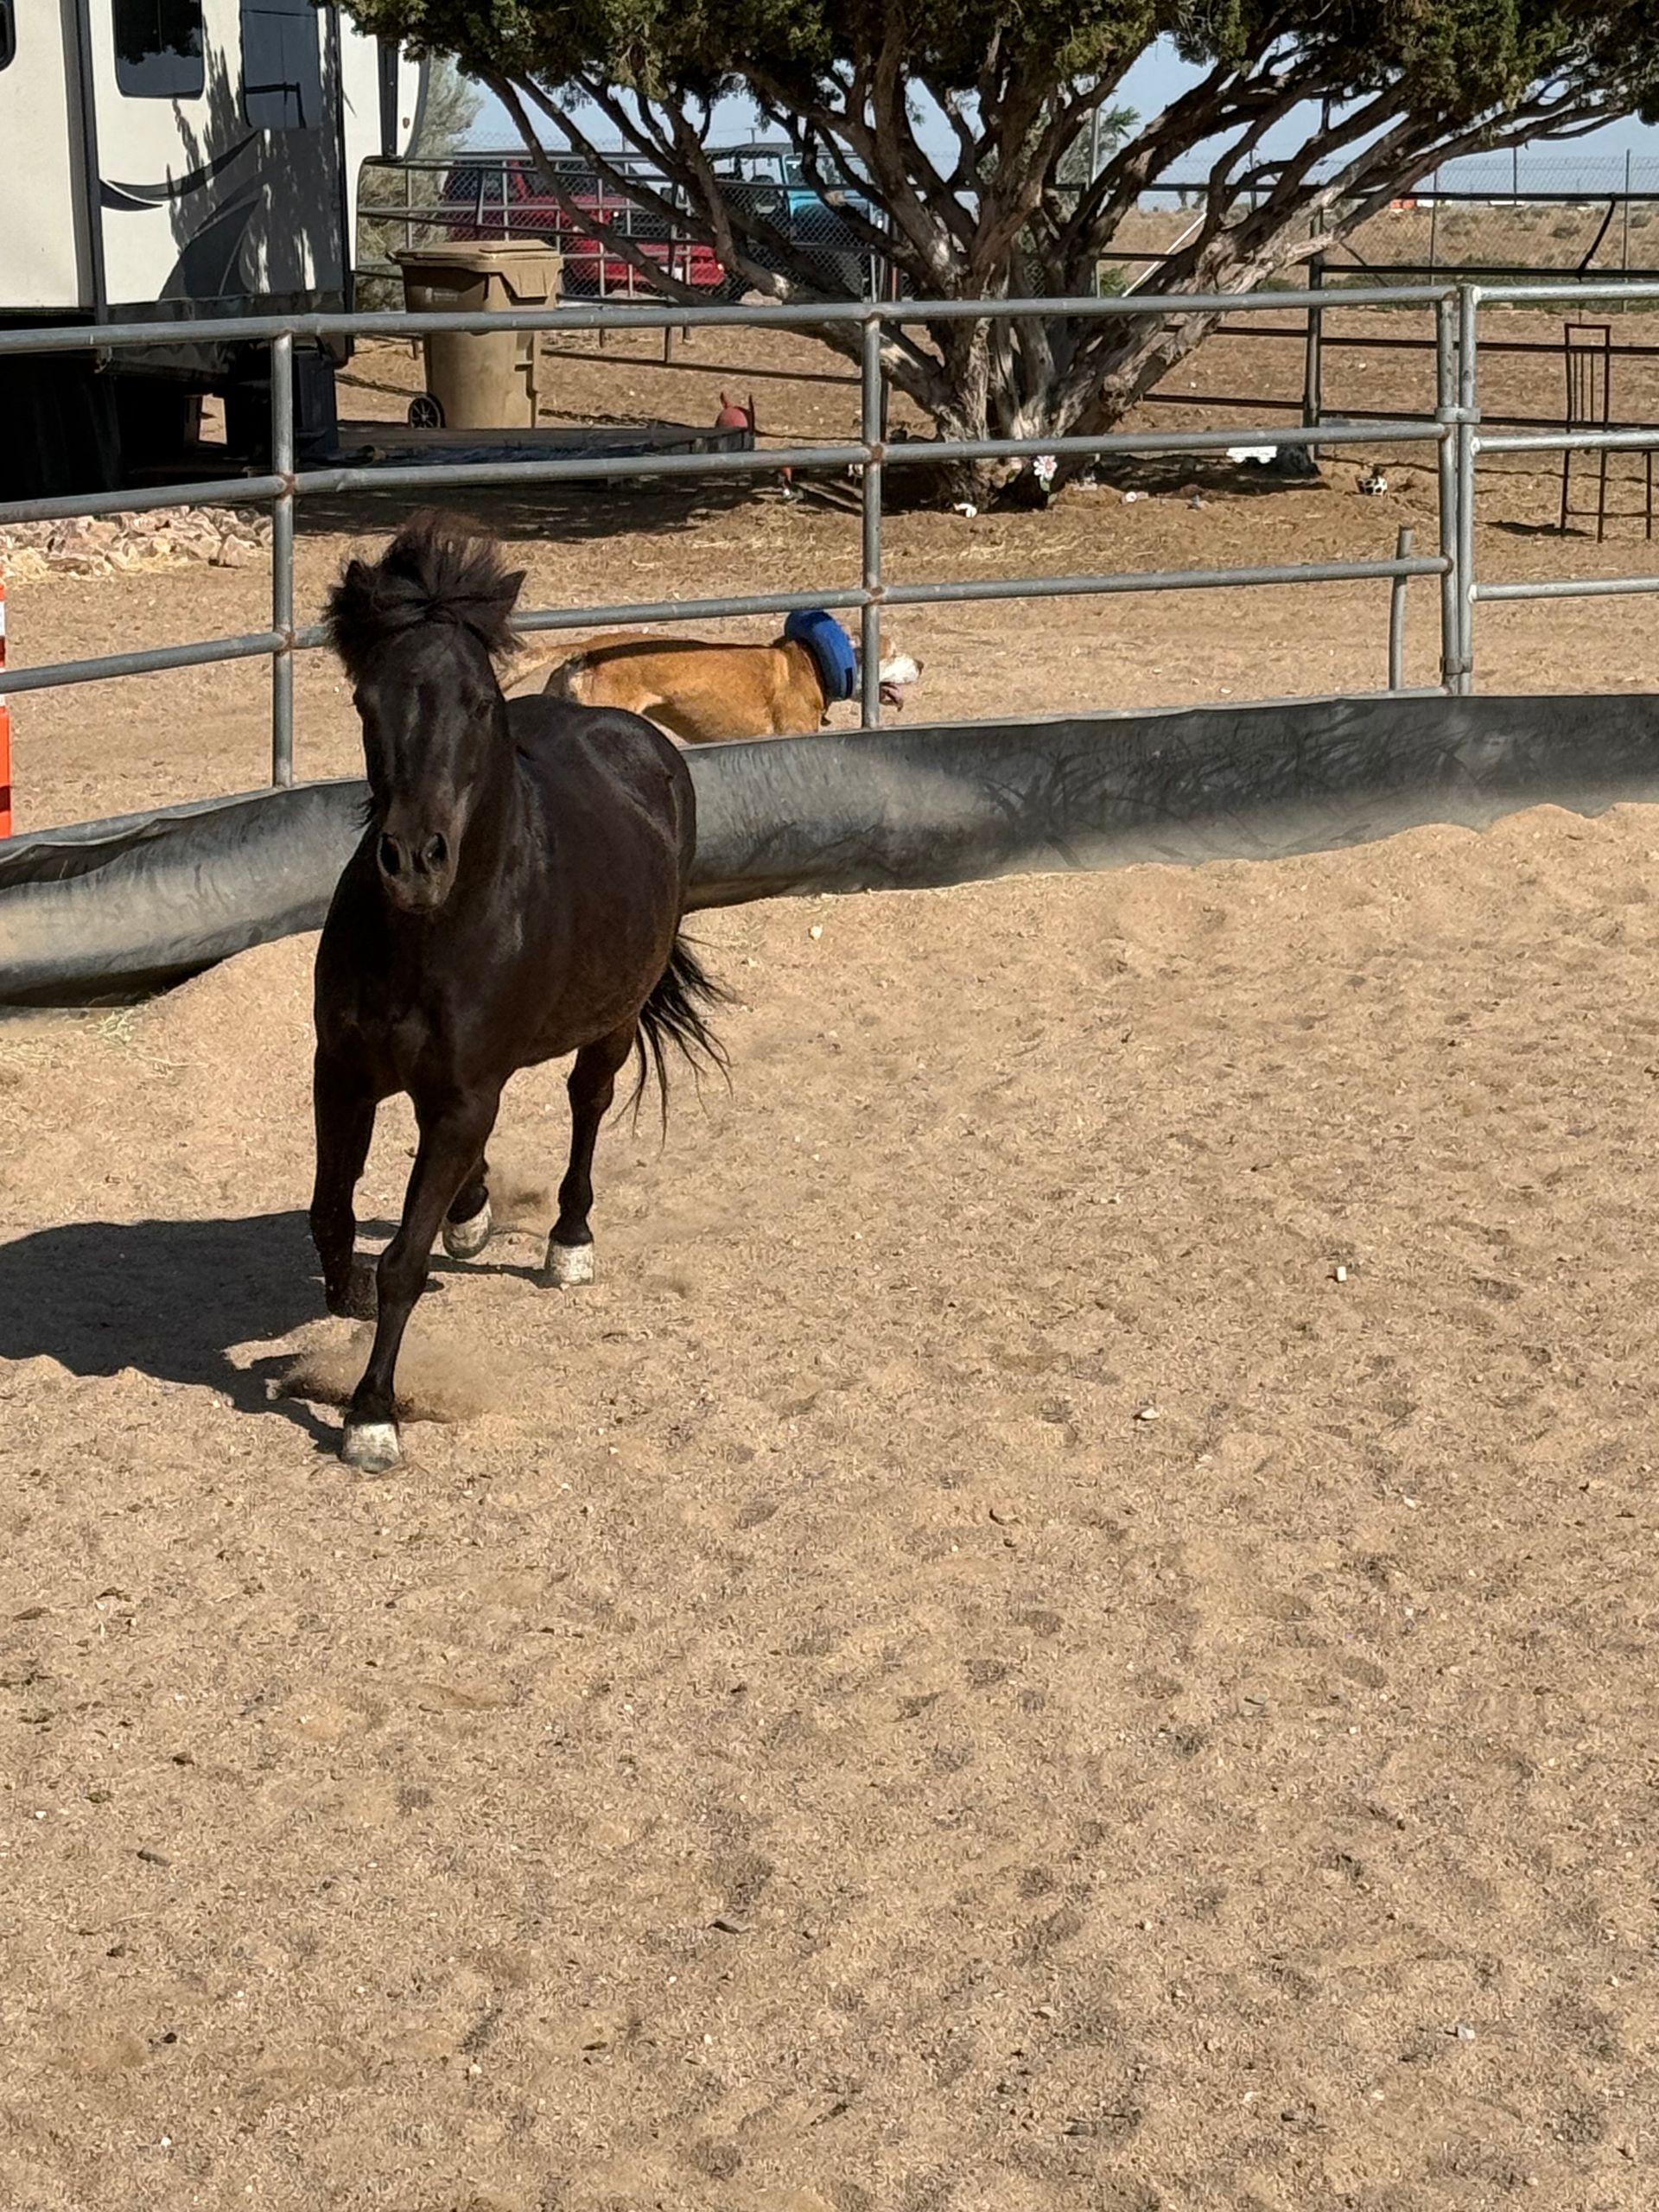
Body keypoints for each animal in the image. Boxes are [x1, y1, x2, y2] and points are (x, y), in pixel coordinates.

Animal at [309, 516, 726, 1473]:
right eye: (367, 703)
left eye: (477, 703)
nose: (414, 861)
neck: (428, 935)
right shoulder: (343, 1072)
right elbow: (331, 1217)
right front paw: (351, 1299)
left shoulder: (466, 1095)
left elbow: (405, 1262)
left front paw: (372, 1417)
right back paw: (475, 1211)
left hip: (613, 1022)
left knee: (588, 1103)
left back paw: (569, 1244)